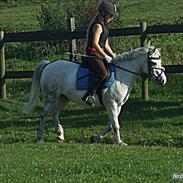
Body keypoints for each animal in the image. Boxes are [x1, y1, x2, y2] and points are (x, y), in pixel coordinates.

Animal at [22, 45, 167, 144]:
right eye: (153, 62)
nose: (163, 80)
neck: (121, 74)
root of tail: (48, 65)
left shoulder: (118, 105)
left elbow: (111, 124)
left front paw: (96, 137)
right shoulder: (111, 104)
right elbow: (115, 124)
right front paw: (119, 142)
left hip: (63, 98)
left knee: (55, 113)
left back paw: (60, 135)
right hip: (50, 97)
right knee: (44, 114)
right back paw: (39, 137)